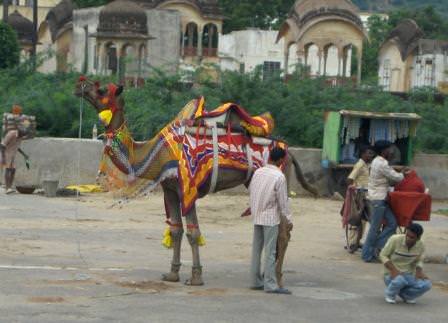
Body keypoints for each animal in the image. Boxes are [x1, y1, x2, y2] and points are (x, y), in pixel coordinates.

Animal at [75, 77, 316, 288]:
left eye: (102, 90)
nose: (80, 85)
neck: (155, 154)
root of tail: (288, 151)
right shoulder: (170, 190)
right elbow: (176, 230)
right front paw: (172, 274)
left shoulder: (187, 187)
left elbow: (193, 232)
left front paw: (196, 277)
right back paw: (268, 275)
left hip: (279, 180)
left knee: (284, 228)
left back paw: (278, 279)